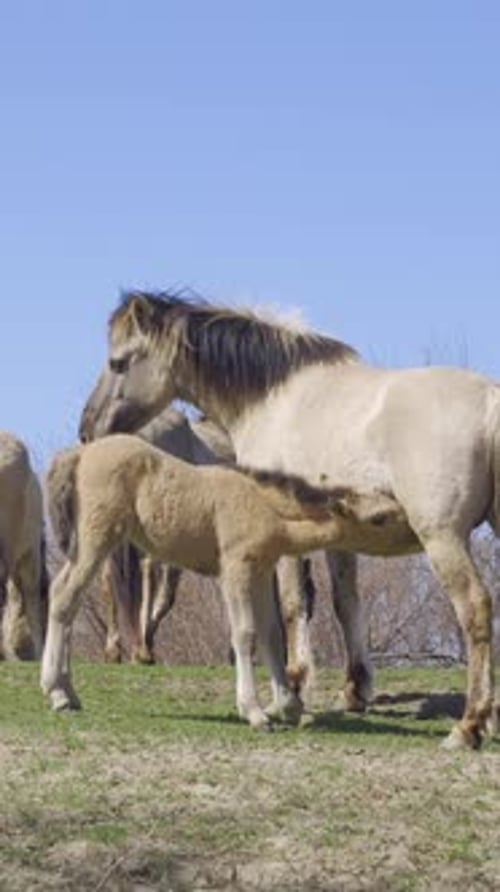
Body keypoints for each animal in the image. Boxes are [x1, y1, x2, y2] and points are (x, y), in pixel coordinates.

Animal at [42, 433, 407, 727]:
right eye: (379, 518)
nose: (411, 528)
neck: (264, 506)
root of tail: (79, 454)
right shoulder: (235, 568)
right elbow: (245, 634)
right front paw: (255, 712)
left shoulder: (261, 571)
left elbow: (272, 635)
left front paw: (290, 707)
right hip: (98, 537)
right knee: (64, 598)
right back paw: (56, 692)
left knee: (63, 594)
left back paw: (67, 691)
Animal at [79, 290, 500, 749]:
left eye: (118, 362)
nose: (87, 429)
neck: (275, 400)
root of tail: (489, 403)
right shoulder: (339, 537)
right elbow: (345, 603)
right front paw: (354, 689)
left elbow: (289, 608)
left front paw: (292, 690)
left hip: (442, 538)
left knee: (476, 608)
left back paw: (470, 725)